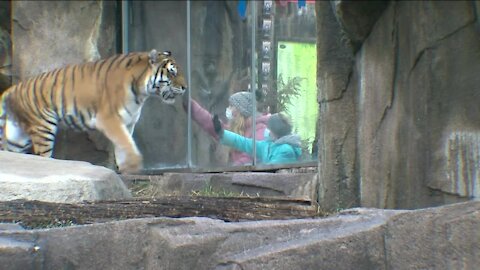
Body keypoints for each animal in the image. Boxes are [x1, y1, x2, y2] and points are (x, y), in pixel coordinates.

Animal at [0, 49, 187, 173]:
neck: (142, 92)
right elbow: (126, 143)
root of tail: (12, 89)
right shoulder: (109, 119)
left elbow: (124, 145)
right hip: (43, 128)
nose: (185, 87)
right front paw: (134, 164)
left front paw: (125, 170)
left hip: (17, 138)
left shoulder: (128, 122)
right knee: (43, 156)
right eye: (172, 73)